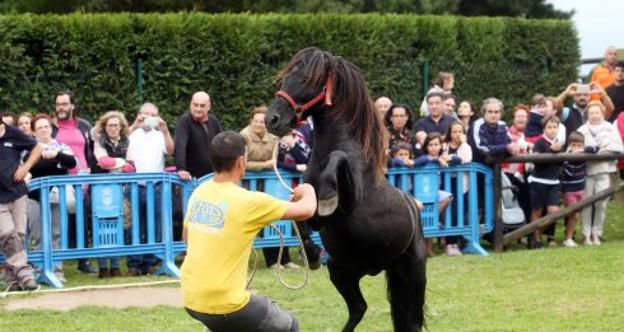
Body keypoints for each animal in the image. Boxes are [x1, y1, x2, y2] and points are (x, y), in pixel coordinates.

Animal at [266, 47, 426, 332]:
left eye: (307, 78)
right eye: (285, 76)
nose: (272, 119)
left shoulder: (350, 203)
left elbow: (337, 159)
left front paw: (330, 194)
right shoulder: (315, 216)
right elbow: (300, 219)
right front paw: (313, 255)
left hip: (413, 271)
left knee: (412, 320)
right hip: (342, 271)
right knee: (359, 308)